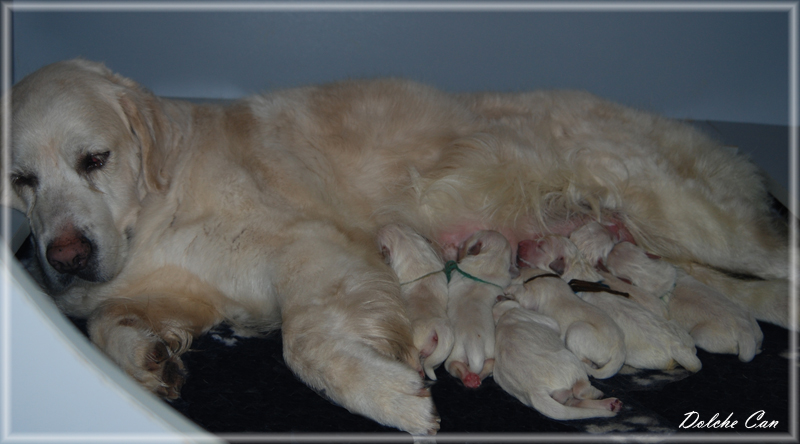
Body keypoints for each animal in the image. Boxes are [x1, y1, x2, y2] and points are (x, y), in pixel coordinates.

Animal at [444, 230, 514, 388]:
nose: (460, 244)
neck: (490, 261)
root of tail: (474, 344)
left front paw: (450, 249)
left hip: (454, 353)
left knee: (454, 365)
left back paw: (468, 378)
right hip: (489, 352)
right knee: (488, 365)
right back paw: (474, 379)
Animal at [491, 299, 623, 420]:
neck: (504, 316)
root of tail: (534, 390)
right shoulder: (545, 320)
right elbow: (555, 325)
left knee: (573, 402)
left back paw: (610, 404)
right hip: (571, 361)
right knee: (580, 391)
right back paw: (598, 394)